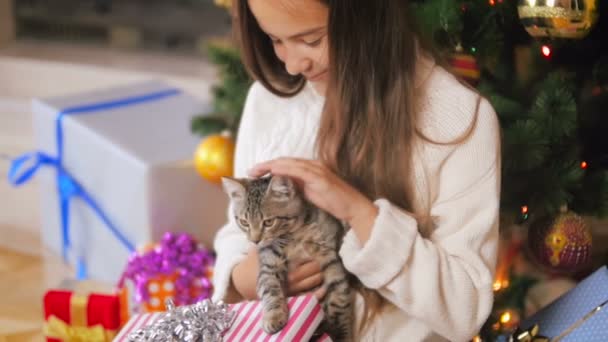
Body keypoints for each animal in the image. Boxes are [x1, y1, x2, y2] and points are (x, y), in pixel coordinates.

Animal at [221, 175, 354, 340]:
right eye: (244, 222)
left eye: (268, 222)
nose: (255, 241)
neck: (294, 235)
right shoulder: (268, 263)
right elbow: (269, 289)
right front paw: (274, 316)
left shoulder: (330, 256)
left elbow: (339, 297)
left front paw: (343, 334)